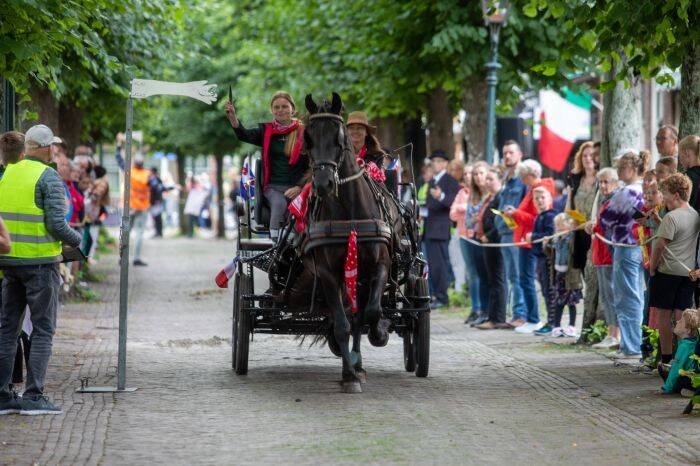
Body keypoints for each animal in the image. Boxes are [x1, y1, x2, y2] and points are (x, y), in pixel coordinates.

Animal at [304, 93, 402, 392]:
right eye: (308, 137)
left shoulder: (380, 265)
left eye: (339, 137)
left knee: (361, 314)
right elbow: (342, 324)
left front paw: (379, 332)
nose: (323, 183)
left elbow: (370, 313)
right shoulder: (328, 273)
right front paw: (348, 375)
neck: (350, 215)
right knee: (348, 317)